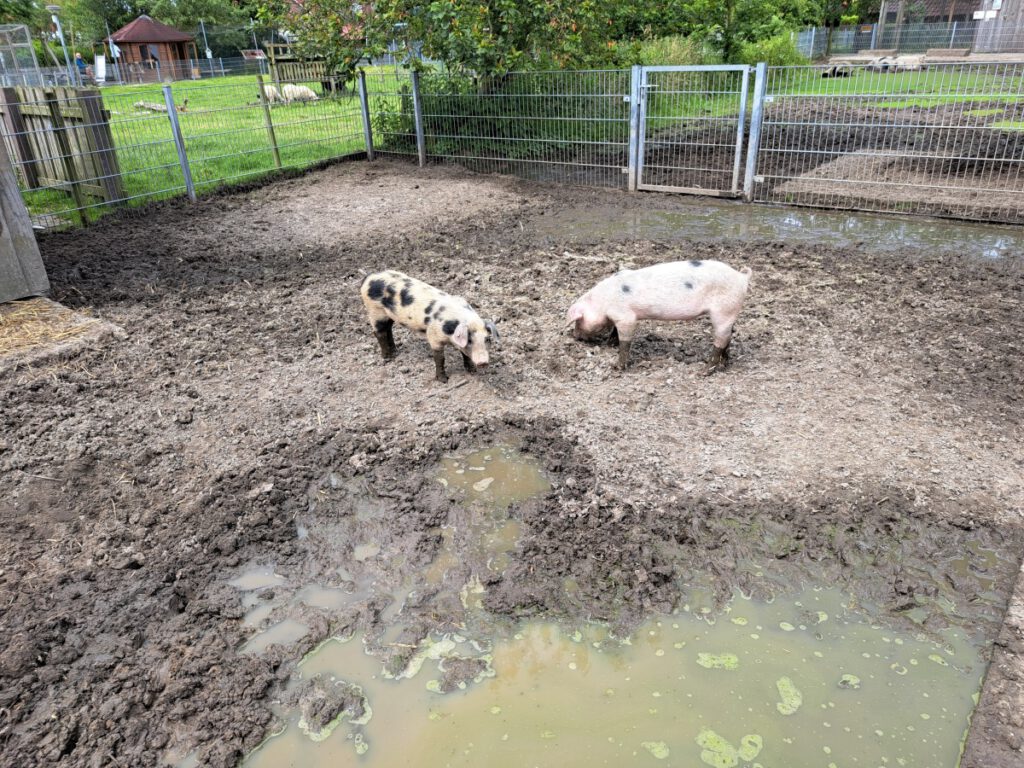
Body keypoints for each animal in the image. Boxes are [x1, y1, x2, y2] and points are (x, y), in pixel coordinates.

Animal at [360, 270, 499, 385]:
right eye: (469, 340)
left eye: (487, 339)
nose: (483, 363)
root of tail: (368, 277)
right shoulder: (434, 335)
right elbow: (440, 358)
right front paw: (444, 380)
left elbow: (464, 353)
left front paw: (472, 371)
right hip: (374, 311)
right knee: (379, 332)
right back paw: (388, 357)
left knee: (388, 329)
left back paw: (395, 351)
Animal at [569, 260, 753, 374]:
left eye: (578, 321)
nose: (575, 336)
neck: (602, 301)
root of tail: (741, 277)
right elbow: (614, 330)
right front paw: (610, 343)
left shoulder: (626, 316)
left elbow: (625, 341)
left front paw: (616, 367)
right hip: (729, 312)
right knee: (729, 336)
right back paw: (724, 364)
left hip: (723, 310)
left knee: (721, 340)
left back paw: (703, 371)